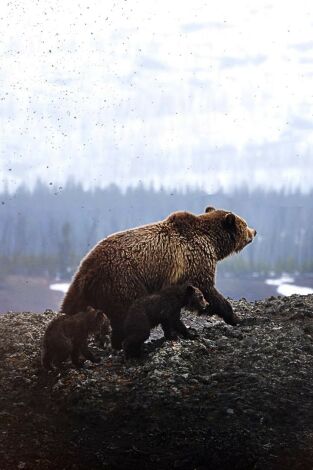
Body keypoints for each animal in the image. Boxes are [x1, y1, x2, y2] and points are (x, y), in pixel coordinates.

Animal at [61, 206, 256, 348]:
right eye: (244, 223)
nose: (254, 231)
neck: (213, 243)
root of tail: (87, 271)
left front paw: (173, 333)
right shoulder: (195, 261)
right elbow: (207, 289)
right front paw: (234, 317)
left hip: (82, 287)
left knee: (71, 306)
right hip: (123, 281)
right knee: (126, 314)